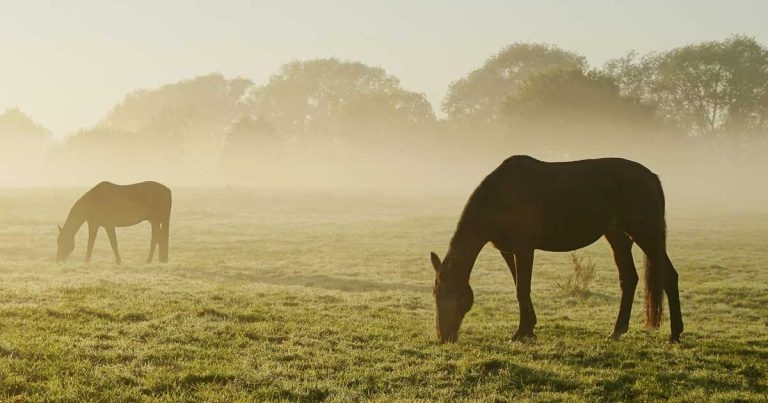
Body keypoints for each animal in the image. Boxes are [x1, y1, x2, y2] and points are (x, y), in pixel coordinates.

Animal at [430, 155, 683, 343]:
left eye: (453, 293)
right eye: (435, 294)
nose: (444, 337)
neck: (500, 197)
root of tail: (651, 177)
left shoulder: (524, 248)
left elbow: (522, 289)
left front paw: (521, 332)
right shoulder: (508, 251)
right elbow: (518, 286)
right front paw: (529, 328)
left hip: (646, 235)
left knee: (669, 276)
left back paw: (675, 333)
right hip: (617, 237)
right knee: (629, 279)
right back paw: (617, 331)